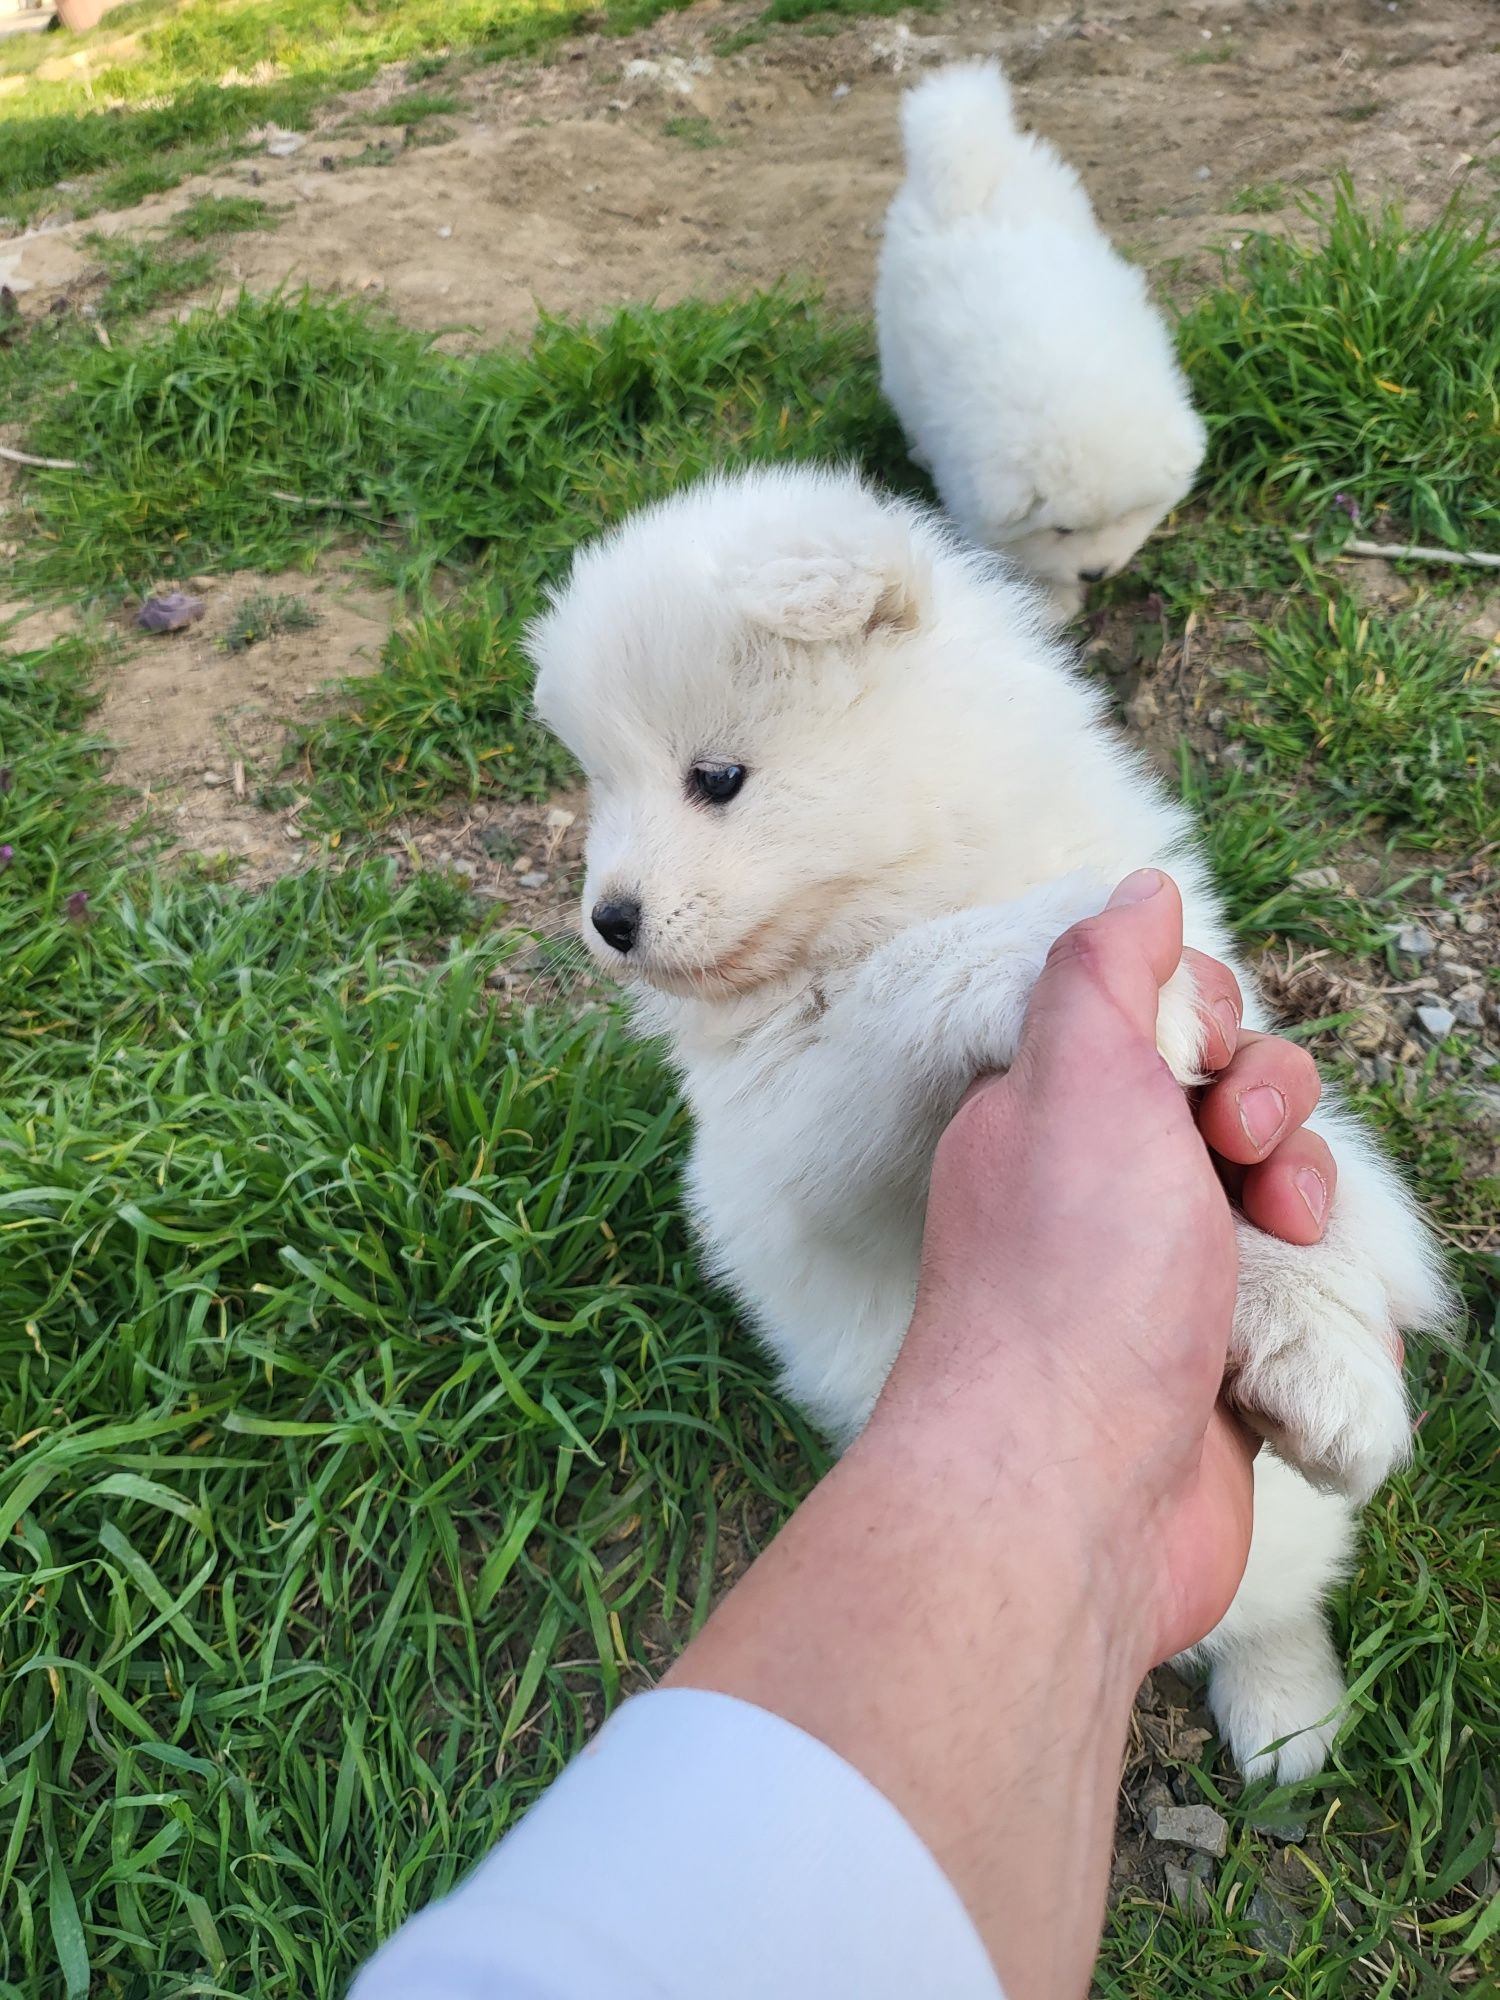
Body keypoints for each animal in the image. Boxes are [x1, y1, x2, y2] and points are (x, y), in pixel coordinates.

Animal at [532, 468, 1456, 1784]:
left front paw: (1324, 1351)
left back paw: (1288, 1708)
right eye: (597, 784)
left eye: (715, 777)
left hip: (1290, 1542)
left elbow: (1304, 1203)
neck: (906, 881)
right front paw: (1053, 952)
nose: (607, 918)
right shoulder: (787, 1145)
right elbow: (914, 981)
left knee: (1277, 1604)